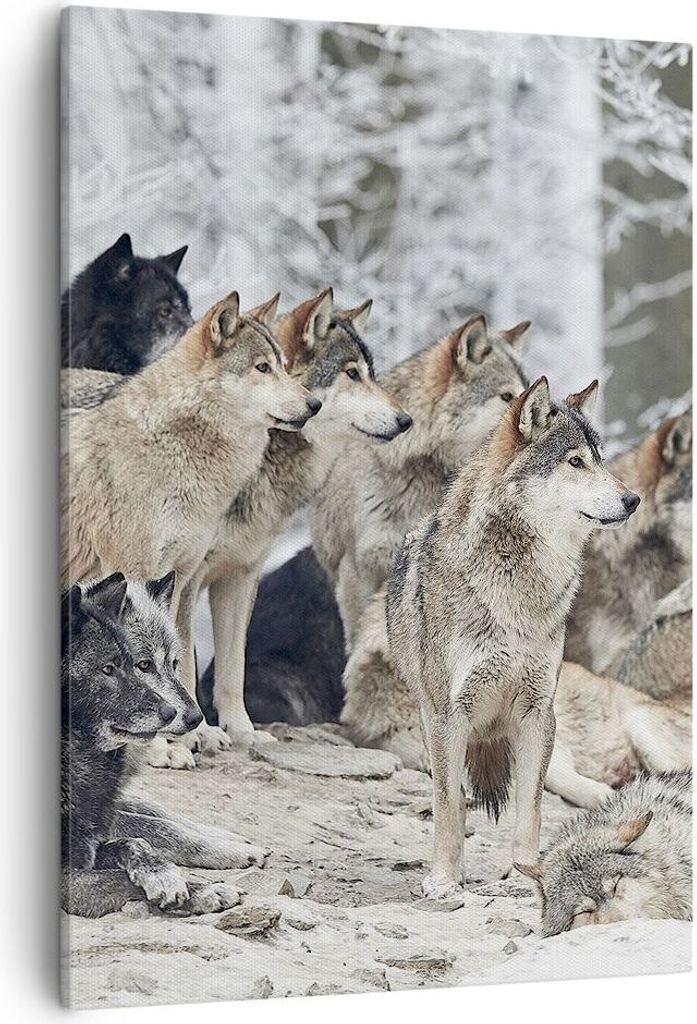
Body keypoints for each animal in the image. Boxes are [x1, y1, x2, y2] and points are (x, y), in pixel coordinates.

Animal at [62, 290, 317, 744]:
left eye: (285, 367)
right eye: (262, 368)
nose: (314, 404)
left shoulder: (182, 576)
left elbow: (181, 658)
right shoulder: (136, 570)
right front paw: (172, 745)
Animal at [62, 574, 267, 919]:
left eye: (173, 664)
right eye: (144, 664)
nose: (195, 717)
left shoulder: (108, 807)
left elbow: (158, 815)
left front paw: (230, 839)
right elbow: (157, 831)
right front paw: (218, 860)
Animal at [193, 289, 409, 743]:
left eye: (371, 374)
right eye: (351, 373)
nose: (406, 420)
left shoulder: (242, 573)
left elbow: (232, 669)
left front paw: (241, 732)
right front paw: (199, 733)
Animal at [386, 376, 640, 896]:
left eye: (600, 459)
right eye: (575, 462)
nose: (632, 500)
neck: (517, 586)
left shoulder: (538, 712)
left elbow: (531, 808)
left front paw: (525, 873)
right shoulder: (448, 715)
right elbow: (449, 806)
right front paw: (444, 881)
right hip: (432, 722)